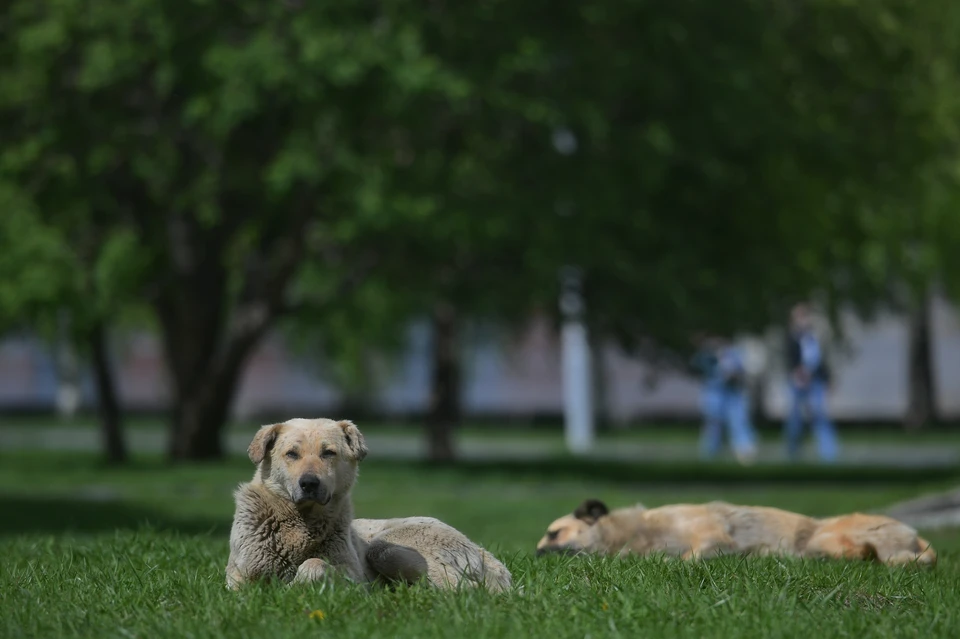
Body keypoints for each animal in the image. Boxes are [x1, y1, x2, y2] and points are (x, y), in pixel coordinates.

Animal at [225, 418, 512, 592]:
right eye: (291, 454)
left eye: (328, 453)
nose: (309, 483)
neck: (300, 523)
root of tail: (478, 548)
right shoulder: (238, 577)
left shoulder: (355, 579)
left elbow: (315, 565)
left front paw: (293, 587)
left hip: (385, 548)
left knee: (466, 589)